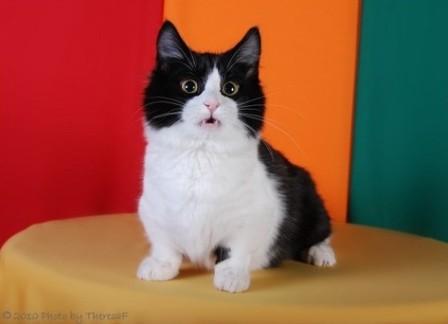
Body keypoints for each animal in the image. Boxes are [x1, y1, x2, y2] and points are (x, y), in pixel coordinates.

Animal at [136, 20, 336, 294]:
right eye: (189, 86)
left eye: (230, 89)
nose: (212, 104)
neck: (202, 153)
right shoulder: (153, 207)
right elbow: (164, 242)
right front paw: (161, 264)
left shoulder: (254, 214)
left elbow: (236, 248)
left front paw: (231, 275)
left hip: (309, 197)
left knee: (322, 231)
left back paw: (321, 253)